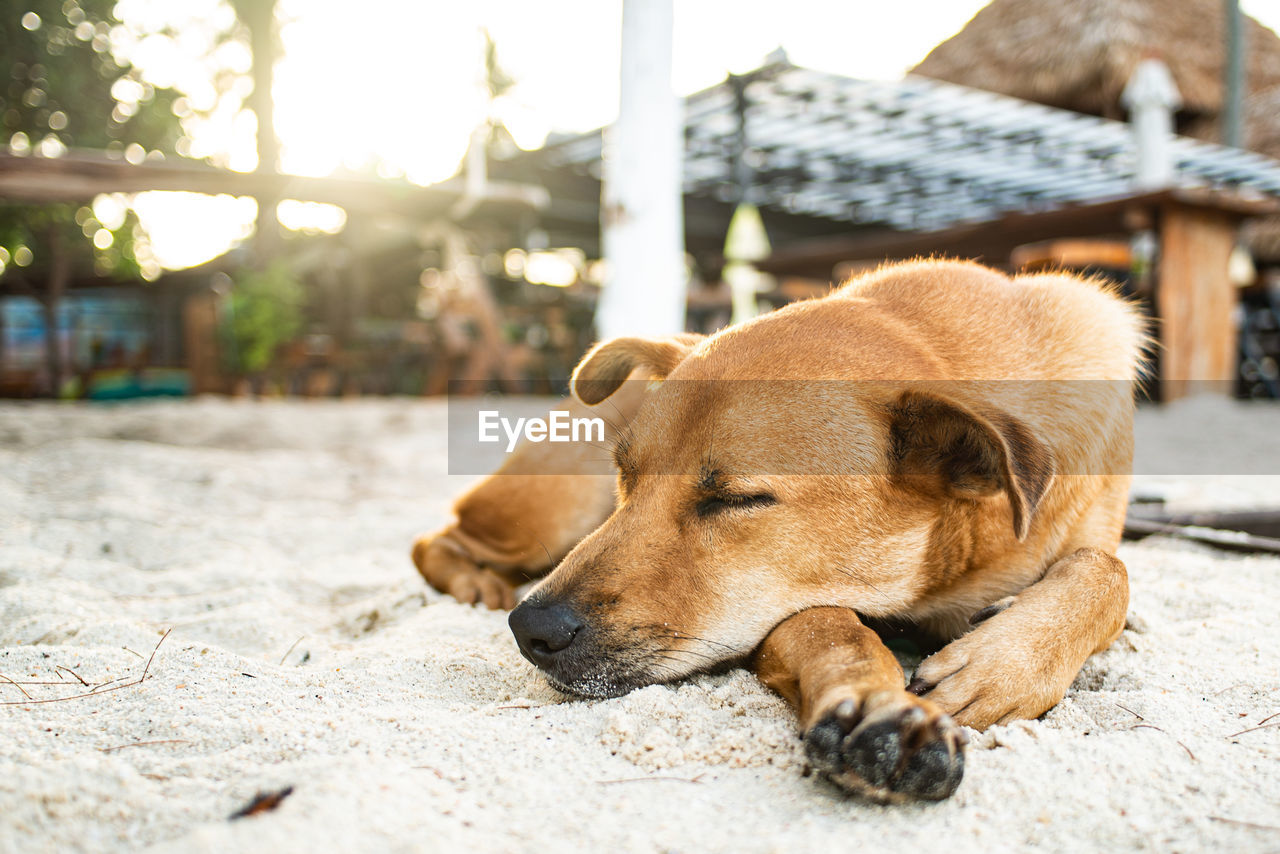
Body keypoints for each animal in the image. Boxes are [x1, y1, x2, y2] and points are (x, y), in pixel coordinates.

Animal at [414, 258, 1146, 804]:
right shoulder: (784, 611)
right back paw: (476, 583)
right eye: (627, 473)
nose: (530, 629)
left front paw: (1000, 663)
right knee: (436, 540)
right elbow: (832, 629)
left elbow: (1108, 571)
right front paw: (875, 704)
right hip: (550, 509)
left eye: (736, 500)